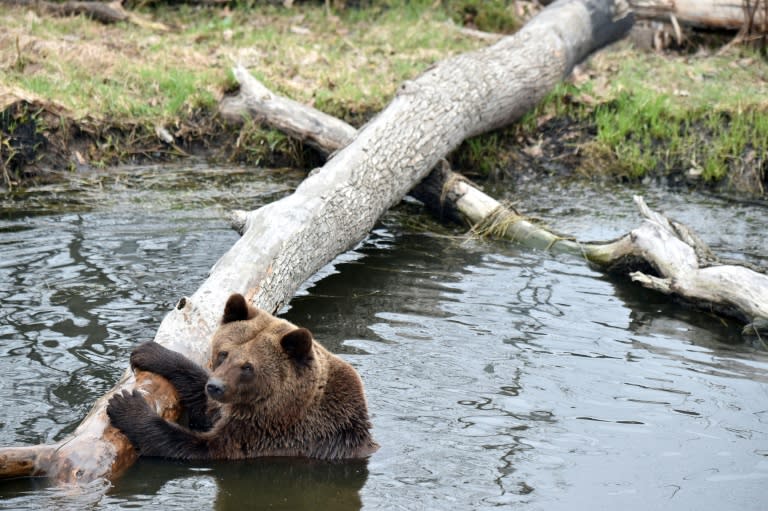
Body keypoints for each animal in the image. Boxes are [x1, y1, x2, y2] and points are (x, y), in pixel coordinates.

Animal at [106, 294, 380, 462]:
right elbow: (204, 404)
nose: (215, 387)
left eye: (248, 367)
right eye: (223, 353)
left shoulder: (271, 437)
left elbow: (196, 446)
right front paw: (148, 352)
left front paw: (126, 405)